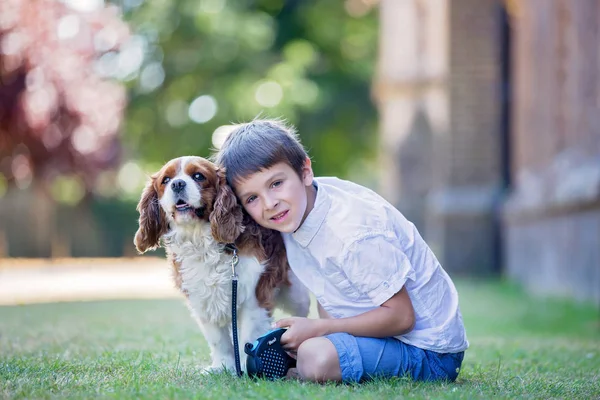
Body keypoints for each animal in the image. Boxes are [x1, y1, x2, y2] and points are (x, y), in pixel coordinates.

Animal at [135, 155, 310, 372]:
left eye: (198, 176)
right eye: (165, 181)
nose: (177, 184)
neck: (200, 240)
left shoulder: (253, 299)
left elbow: (247, 337)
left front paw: (244, 369)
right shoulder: (202, 300)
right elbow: (218, 340)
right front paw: (222, 367)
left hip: (297, 295)